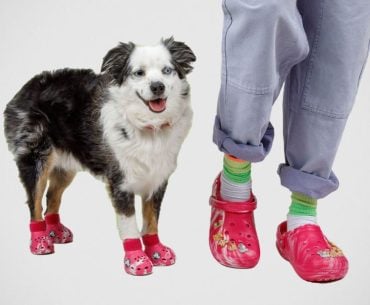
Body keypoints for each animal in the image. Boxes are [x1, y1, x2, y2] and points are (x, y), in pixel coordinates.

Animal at [4, 36, 195, 274]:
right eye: (139, 73)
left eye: (167, 70)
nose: (157, 87)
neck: (149, 126)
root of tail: (26, 86)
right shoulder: (120, 182)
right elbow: (129, 224)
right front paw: (136, 259)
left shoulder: (157, 179)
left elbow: (152, 220)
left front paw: (156, 250)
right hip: (36, 159)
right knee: (35, 202)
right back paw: (40, 241)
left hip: (66, 167)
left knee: (52, 197)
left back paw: (55, 232)